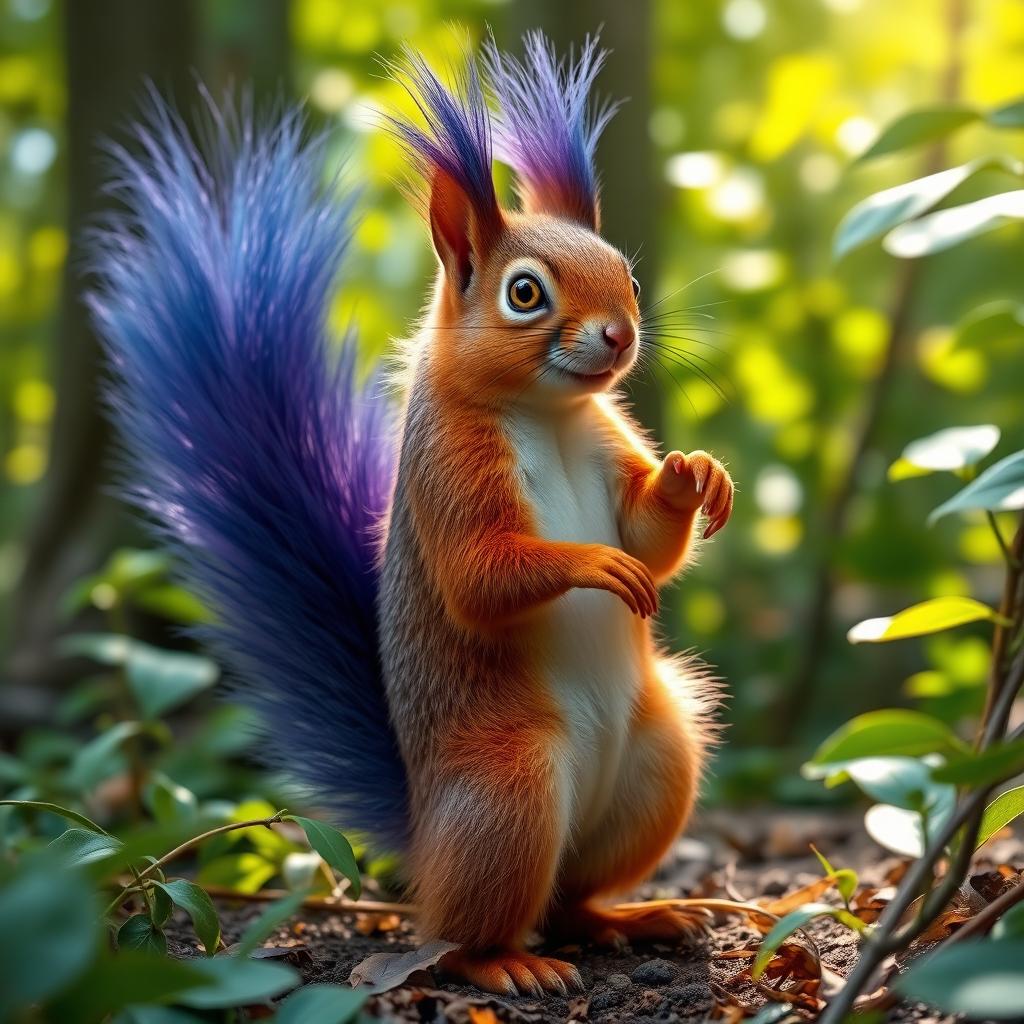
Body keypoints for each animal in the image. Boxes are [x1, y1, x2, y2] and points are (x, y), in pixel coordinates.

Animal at [91, 33, 734, 997]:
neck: (548, 416)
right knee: (465, 930)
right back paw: (508, 963)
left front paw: (695, 475)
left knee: (572, 900)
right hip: (509, 789)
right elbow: (480, 575)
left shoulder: (608, 440)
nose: (620, 334)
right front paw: (595, 565)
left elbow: (650, 538)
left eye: (625, 271)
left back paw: (638, 915)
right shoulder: (449, 472)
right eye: (525, 294)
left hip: (660, 760)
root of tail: (425, 840)